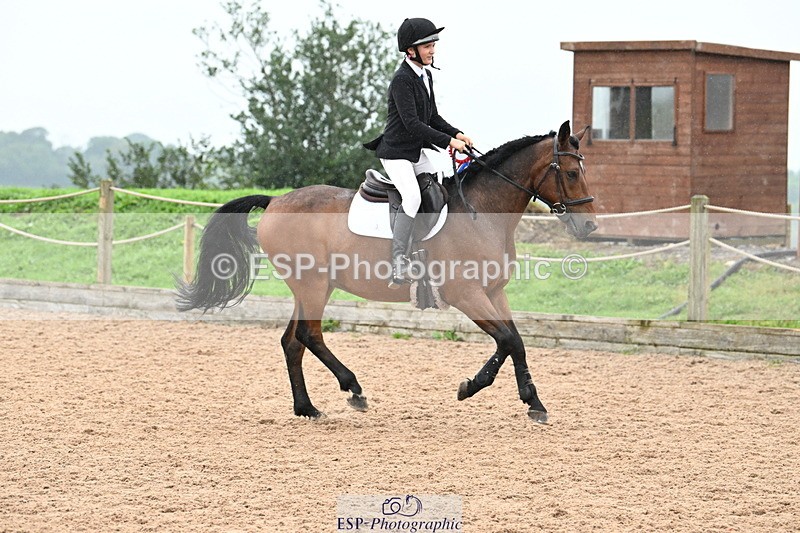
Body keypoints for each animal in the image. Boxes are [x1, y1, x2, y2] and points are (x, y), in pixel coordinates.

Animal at [176, 120, 597, 423]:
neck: (484, 211)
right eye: (571, 174)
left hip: (311, 287)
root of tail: (276, 200)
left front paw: (533, 402)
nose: (590, 226)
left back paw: (307, 408)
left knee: (292, 341)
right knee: (310, 336)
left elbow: (516, 342)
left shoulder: (494, 292)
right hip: (313, 285)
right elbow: (507, 340)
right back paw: (353, 389)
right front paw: (471, 387)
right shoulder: (466, 294)